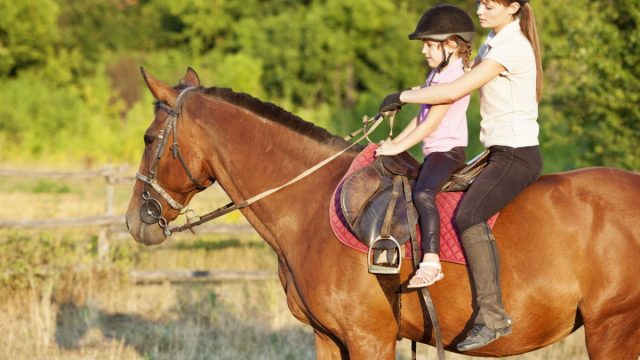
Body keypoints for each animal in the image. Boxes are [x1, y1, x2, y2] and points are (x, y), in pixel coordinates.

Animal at [125, 68, 640, 360]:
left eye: (149, 139)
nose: (136, 221)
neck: (311, 207)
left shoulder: (369, 339)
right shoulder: (328, 340)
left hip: (613, 329)